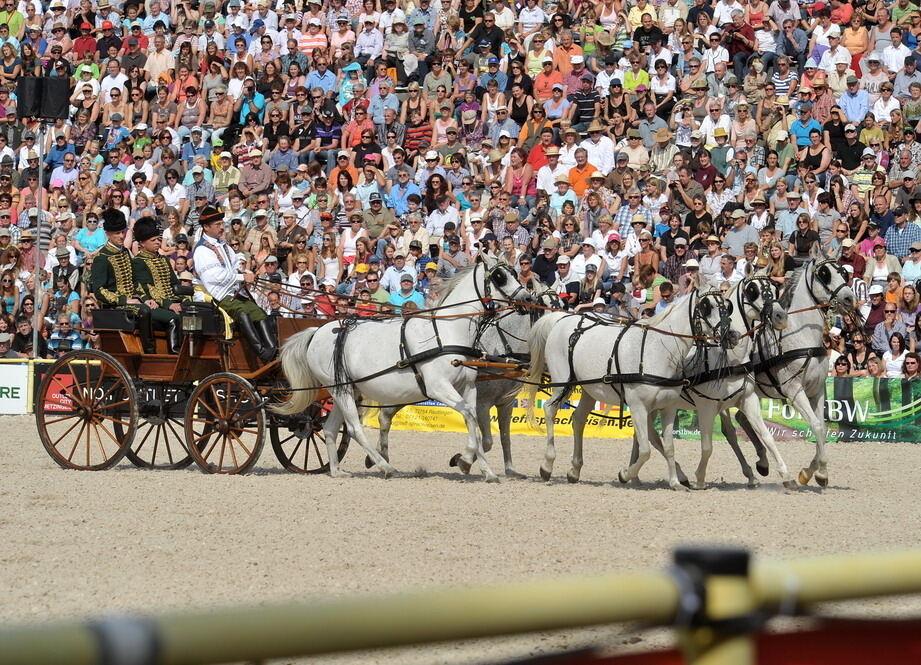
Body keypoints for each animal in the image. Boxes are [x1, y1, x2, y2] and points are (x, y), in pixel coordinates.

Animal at [274, 256, 532, 480]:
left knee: (329, 428)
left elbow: (474, 422)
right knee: (354, 428)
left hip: (345, 389)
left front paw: (479, 468)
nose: (527, 299)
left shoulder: (468, 387)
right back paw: (384, 466)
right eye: (499, 276)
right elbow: (469, 415)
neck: (447, 331)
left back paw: (337, 471)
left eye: (515, 273)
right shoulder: (438, 387)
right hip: (341, 390)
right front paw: (467, 461)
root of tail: (316, 332)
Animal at [366, 290, 560, 478]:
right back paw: (378, 456)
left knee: (386, 416)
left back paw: (377, 456)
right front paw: (463, 459)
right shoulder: (482, 403)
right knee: (385, 416)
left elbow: (505, 437)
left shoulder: (505, 403)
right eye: (546, 311)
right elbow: (486, 440)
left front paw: (510, 469)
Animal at [524, 290, 732, 488]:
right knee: (549, 408)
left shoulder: (668, 407)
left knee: (578, 419)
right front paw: (625, 474)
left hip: (589, 389)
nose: (731, 335)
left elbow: (669, 447)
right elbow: (646, 450)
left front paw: (675, 483)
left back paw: (574, 470)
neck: (656, 351)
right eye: (706, 307)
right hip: (563, 382)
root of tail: (562, 318)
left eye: (727, 307)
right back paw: (547, 465)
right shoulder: (638, 406)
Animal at [732, 256, 856, 486]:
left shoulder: (817, 389)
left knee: (743, 419)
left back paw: (762, 463)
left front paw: (809, 472)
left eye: (844, 272)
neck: (801, 336)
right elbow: (816, 426)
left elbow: (822, 428)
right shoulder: (795, 391)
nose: (849, 299)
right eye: (824, 273)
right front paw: (819, 472)